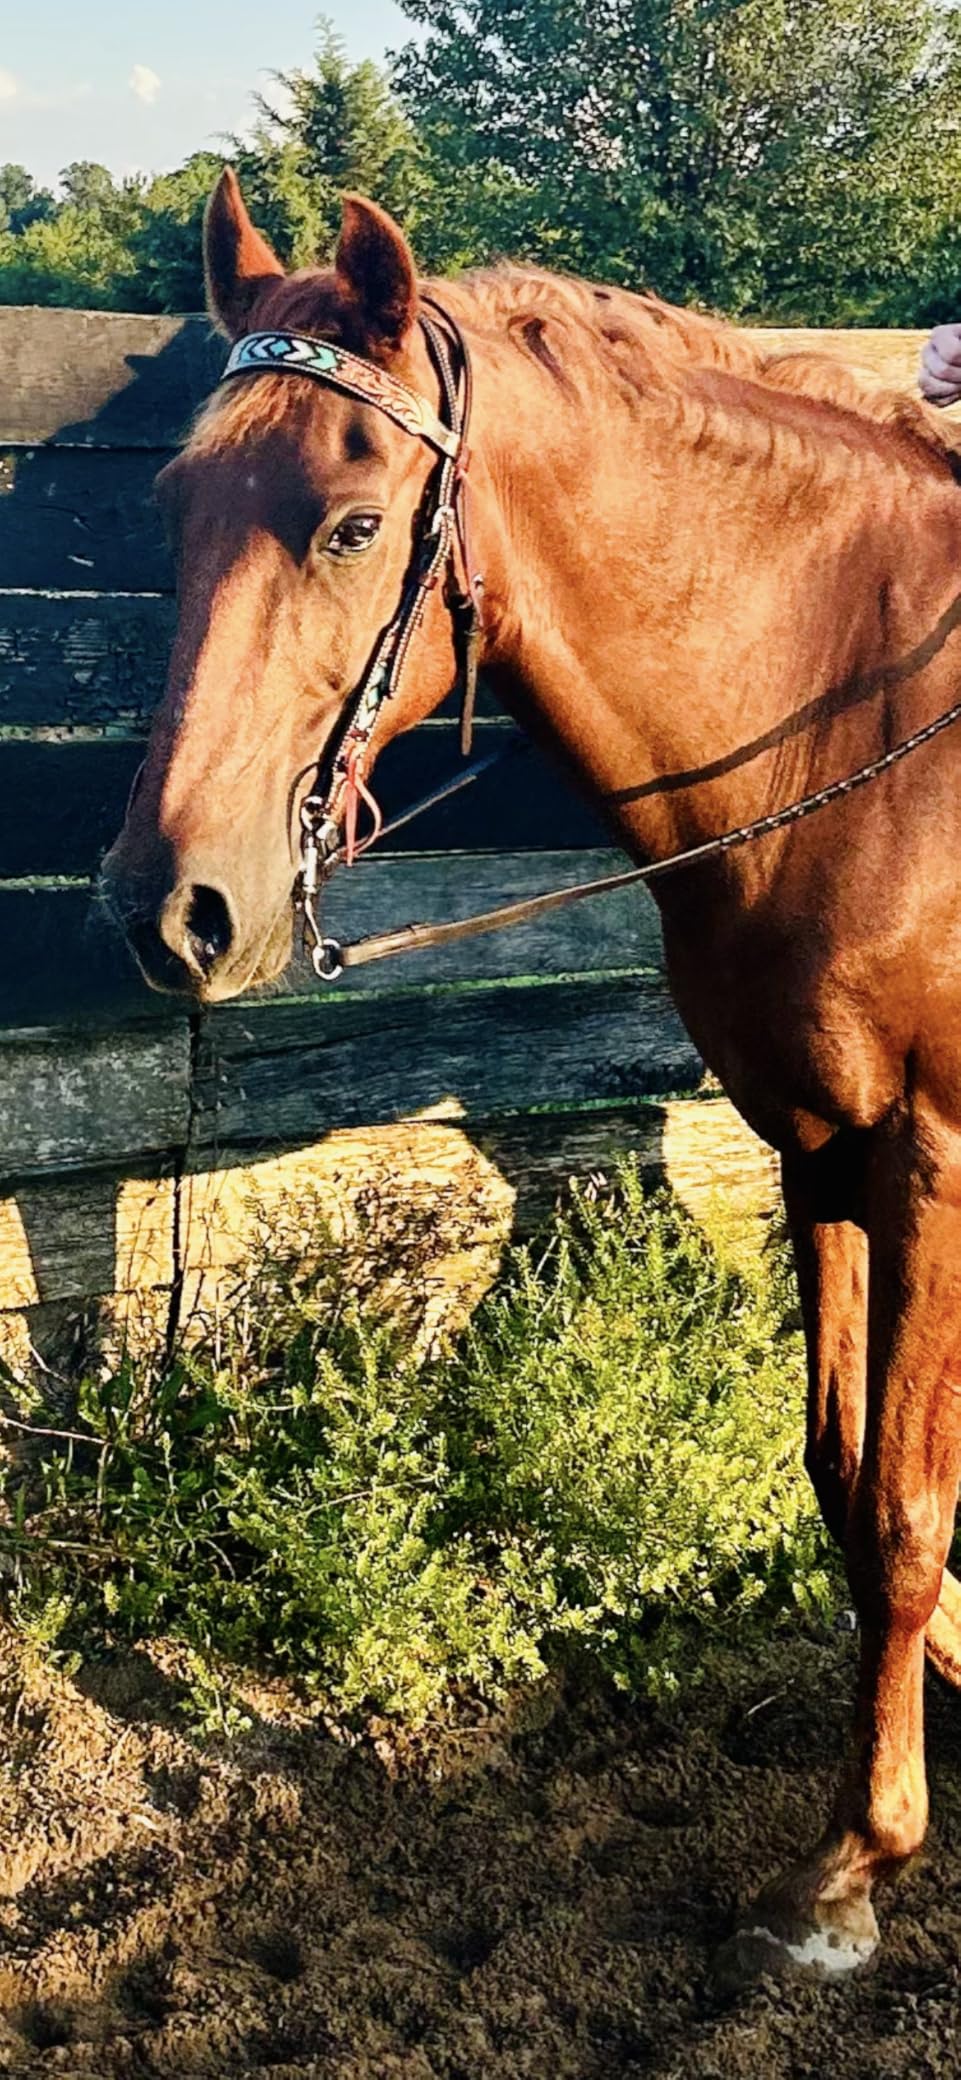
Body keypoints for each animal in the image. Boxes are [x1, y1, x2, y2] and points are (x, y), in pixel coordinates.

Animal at [102, 166, 961, 1983]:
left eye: (352, 525)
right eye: (177, 502)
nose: (168, 906)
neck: (860, 740)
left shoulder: (930, 1160)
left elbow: (908, 1506)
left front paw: (854, 1862)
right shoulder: (823, 1150)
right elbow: (848, 1476)